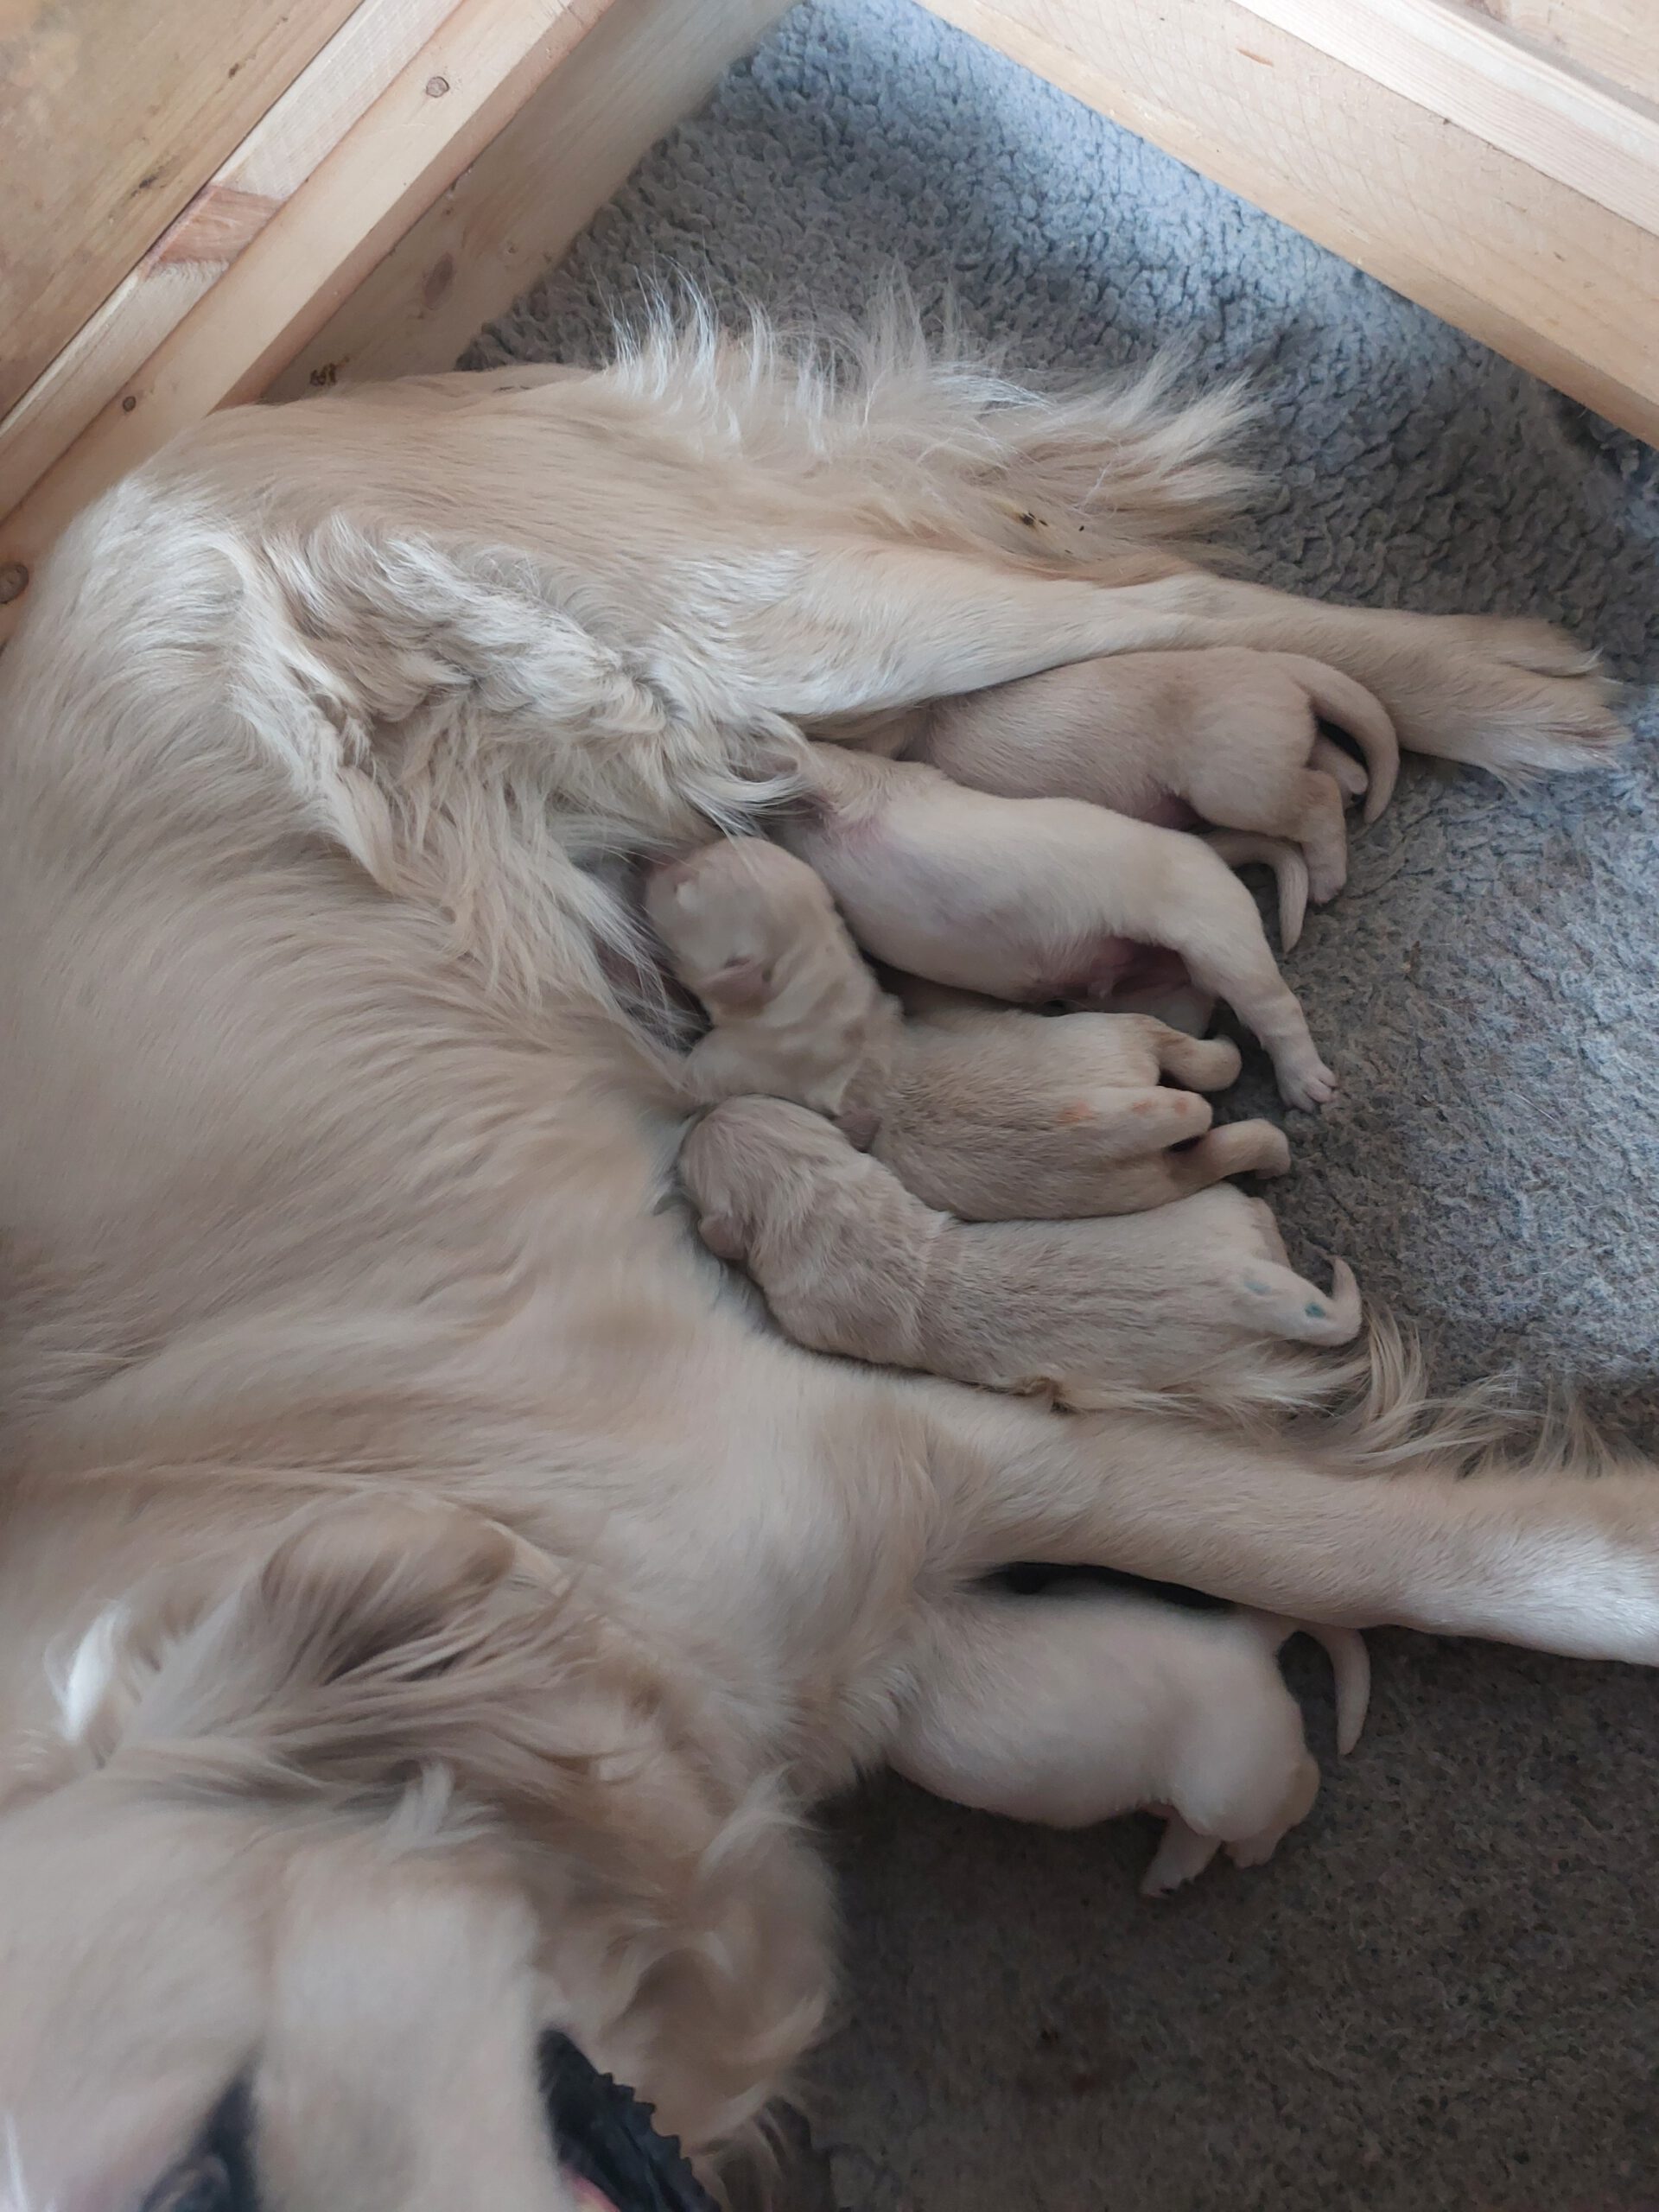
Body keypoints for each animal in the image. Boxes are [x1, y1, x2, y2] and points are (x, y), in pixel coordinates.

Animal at [645, 838, 1290, 1216]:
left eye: (679, 885)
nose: (652, 858)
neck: (816, 983)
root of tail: (1115, 1119)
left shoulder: (727, 1061)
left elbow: (678, 1074)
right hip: (1131, 1106)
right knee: (1211, 1106)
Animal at [679, 1098, 1360, 1408]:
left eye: (691, 1160)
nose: (700, 1114)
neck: (815, 1194)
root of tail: (1242, 1284)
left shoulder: (808, 1315)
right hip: (1216, 1214)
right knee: (1258, 1214)